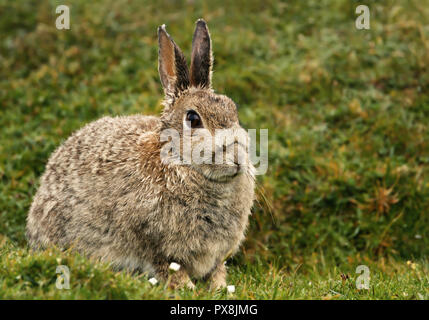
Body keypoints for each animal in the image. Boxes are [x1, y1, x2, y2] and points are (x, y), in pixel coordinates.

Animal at [25, 19, 254, 290]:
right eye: (193, 119)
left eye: (232, 108)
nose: (238, 158)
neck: (179, 164)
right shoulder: (156, 247)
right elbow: (170, 268)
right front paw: (188, 289)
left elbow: (216, 271)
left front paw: (219, 289)